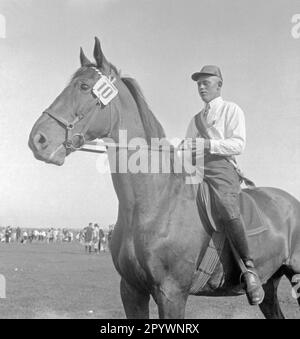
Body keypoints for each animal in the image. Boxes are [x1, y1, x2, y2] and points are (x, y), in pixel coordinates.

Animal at [28, 38, 300, 320]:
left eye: (83, 87)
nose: (38, 139)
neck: (153, 202)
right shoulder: (131, 290)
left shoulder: (171, 294)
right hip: (270, 284)